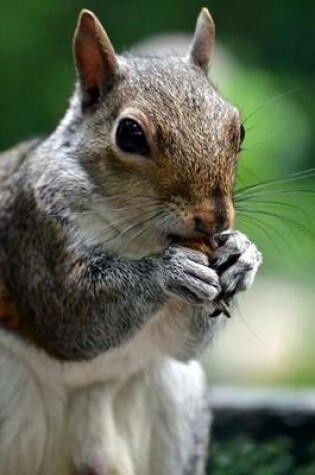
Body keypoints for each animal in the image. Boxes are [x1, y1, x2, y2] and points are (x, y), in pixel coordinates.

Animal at [0, 7, 262, 475]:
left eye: (239, 129)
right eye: (130, 135)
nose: (215, 218)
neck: (140, 237)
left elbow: (182, 343)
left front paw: (242, 255)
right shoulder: (35, 233)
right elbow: (70, 318)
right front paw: (168, 271)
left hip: (174, 401)